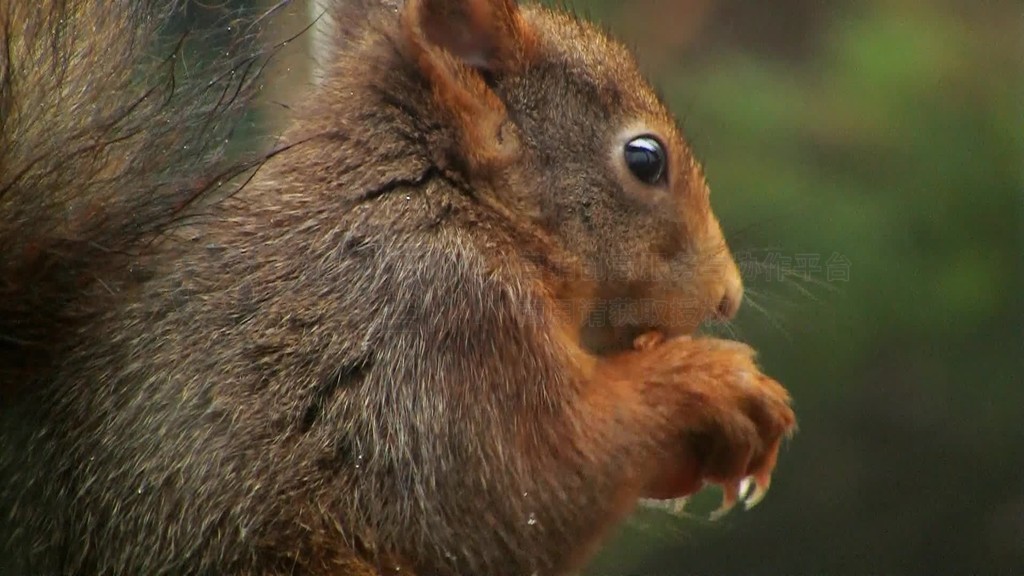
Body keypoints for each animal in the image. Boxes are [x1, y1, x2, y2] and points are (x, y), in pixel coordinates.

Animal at [0, 1, 794, 573]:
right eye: (645, 159)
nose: (727, 295)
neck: (450, 203)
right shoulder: (436, 334)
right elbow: (535, 487)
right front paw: (714, 387)